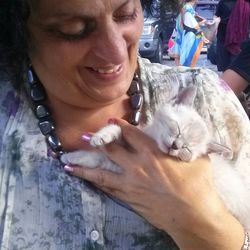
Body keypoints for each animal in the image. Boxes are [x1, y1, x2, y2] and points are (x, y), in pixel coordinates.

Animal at [61, 86, 250, 230]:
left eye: (187, 149)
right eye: (178, 129)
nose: (176, 146)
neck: (152, 140)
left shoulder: (118, 167)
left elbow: (97, 158)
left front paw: (70, 157)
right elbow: (115, 134)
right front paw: (99, 138)